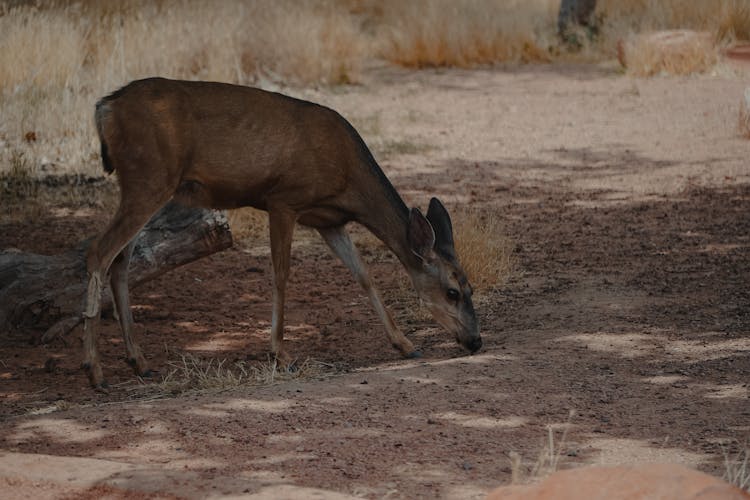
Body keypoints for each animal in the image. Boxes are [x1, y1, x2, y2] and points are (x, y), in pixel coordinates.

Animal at [82, 78, 482, 388]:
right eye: (452, 291)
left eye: (471, 288)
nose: (476, 341)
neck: (349, 178)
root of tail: (105, 106)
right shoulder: (284, 200)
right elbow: (281, 276)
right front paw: (280, 354)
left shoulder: (329, 221)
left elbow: (364, 276)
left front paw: (404, 343)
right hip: (148, 177)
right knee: (99, 251)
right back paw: (95, 372)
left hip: (144, 185)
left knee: (121, 261)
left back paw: (139, 362)